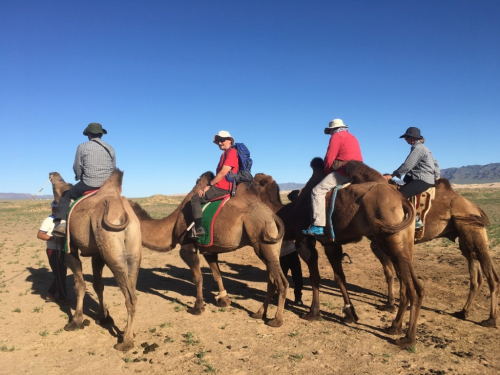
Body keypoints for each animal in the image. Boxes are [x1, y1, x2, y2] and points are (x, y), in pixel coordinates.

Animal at [49, 170, 141, 352]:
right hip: (133, 252)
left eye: (57, 181)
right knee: (133, 291)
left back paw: (125, 342)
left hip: (112, 250)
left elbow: (80, 285)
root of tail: (122, 211)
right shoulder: (97, 254)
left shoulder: (70, 247)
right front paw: (104, 317)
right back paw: (128, 331)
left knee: (130, 298)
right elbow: (98, 285)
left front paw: (76, 321)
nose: (52, 173)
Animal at [129, 172, 290, 328]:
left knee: (282, 282)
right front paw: (224, 300)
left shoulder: (188, 248)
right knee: (272, 281)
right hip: (269, 249)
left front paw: (198, 308)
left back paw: (276, 320)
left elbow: (198, 277)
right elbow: (217, 275)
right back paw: (259, 313)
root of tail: (272, 216)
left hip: (263, 243)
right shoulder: (209, 251)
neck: (173, 224)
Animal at [254, 159, 422, 350]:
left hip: (390, 241)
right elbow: (339, 277)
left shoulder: (304, 240)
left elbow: (315, 277)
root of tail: (401, 200)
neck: (291, 212)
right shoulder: (331, 244)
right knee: (411, 284)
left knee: (413, 289)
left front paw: (313, 312)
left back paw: (408, 338)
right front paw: (350, 314)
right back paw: (394, 327)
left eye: (256, 182)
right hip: (403, 243)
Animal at [376, 178, 500, 328]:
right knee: (476, 277)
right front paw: (391, 304)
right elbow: (394, 274)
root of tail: (475, 208)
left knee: (491, 276)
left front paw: (391, 305)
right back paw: (463, 312)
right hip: (466, 238)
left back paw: (490, 320)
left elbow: (393, 274)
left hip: (474, 233)